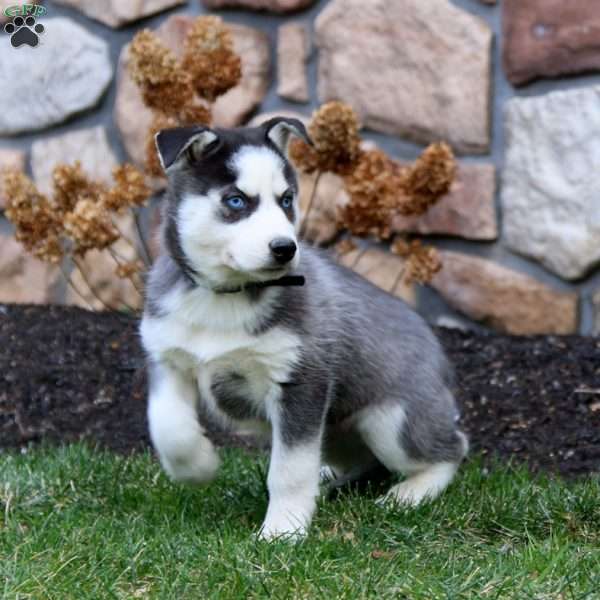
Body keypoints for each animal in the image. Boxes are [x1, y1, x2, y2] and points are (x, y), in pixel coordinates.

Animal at [142, 117, 468, 540]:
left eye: (286, 200)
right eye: (236, 201)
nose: (285, 248)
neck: (224, 296)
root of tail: (439, 354)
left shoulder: (300, 381)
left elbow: (290, 469)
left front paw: (282, 531)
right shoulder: (168, 358)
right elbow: (168, 427)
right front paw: (198, 468)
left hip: (392, 420)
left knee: (452, 448)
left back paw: (410, 493)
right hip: (334, 431)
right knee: (364, 462)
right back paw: (330, 478)